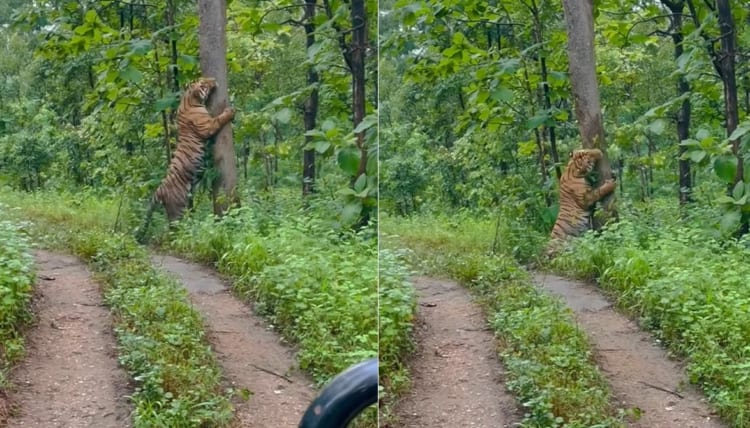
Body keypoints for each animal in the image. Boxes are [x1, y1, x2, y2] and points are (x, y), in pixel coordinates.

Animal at [136, 77, 234, 242]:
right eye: (204, 83)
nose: (213, 80)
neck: (189, 99)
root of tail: (160, 190)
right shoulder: (207, 125)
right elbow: (219, 119)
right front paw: (230, 111)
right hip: (177, 209)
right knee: (173, 229)